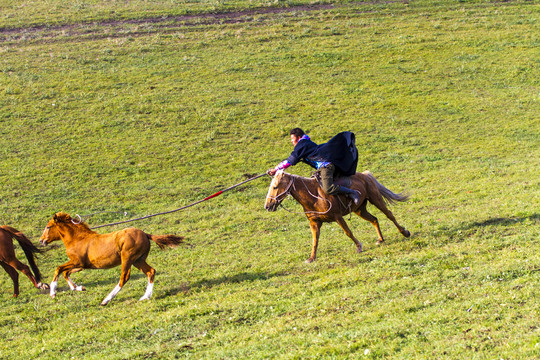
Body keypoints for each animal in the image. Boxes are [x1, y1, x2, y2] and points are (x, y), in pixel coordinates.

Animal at [39, 212, 185, 306]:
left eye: (48, 227)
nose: (41, 240)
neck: (77, 239)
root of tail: (145, 234)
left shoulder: (77, 262)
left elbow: (59, 269)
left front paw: (53, 292)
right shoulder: (81, 265)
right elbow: (65, 272)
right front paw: (79, 288)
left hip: (127, 259)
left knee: (124, 278)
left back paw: (106, 300)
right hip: (138, 260)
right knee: (151, 271)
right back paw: (145, 297)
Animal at [264, 170, 410, 262]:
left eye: (275, 187)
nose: (267, 206)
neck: (314, 195)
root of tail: (365, 175)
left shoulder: (338, 217)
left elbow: (348, 232)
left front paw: (359, 247)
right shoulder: (314, 222)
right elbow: (315, 240)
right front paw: (311, 258)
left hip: (376, 199)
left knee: (389, 215)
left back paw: (405, 232)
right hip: (359, 210)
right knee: (374, 219)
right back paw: (380, 239)